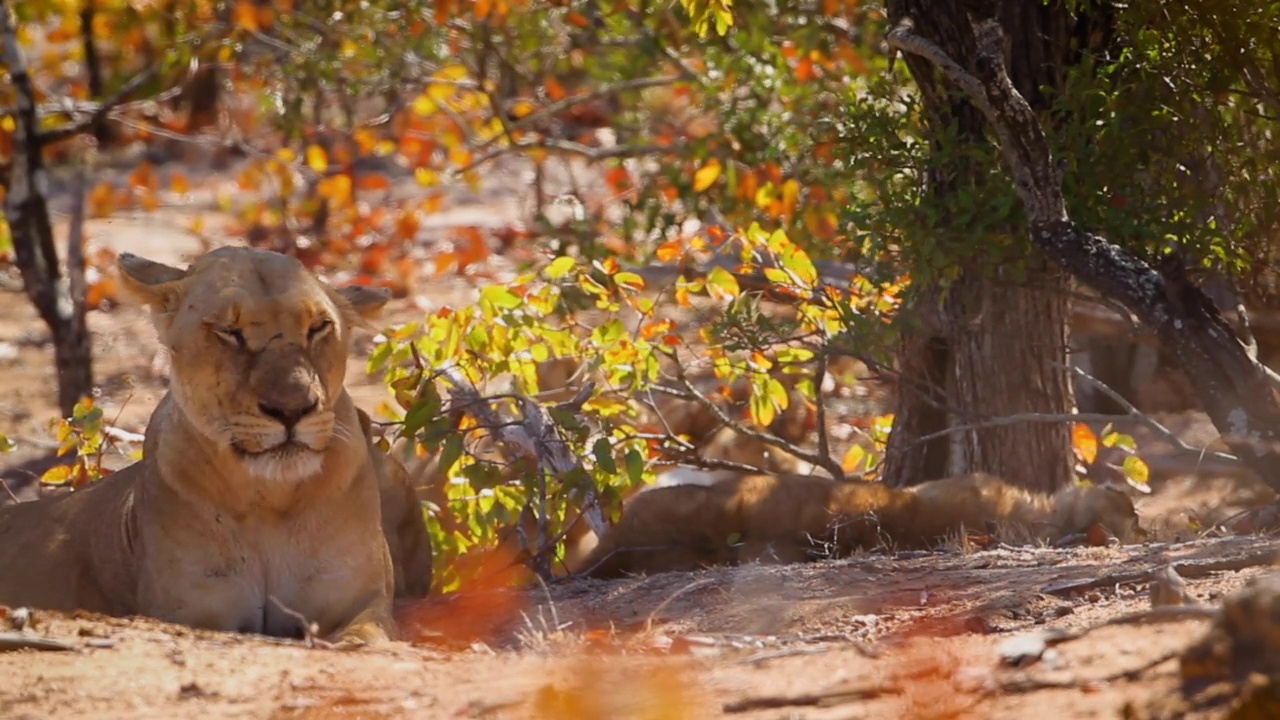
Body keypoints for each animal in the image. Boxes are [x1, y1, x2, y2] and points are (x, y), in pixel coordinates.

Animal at [0, 244, 414, 638]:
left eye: (319, 327)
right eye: (228, 331)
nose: (293, 408)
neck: (270, 502)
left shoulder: (360, 601)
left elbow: (363, 638)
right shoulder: (191, 614)